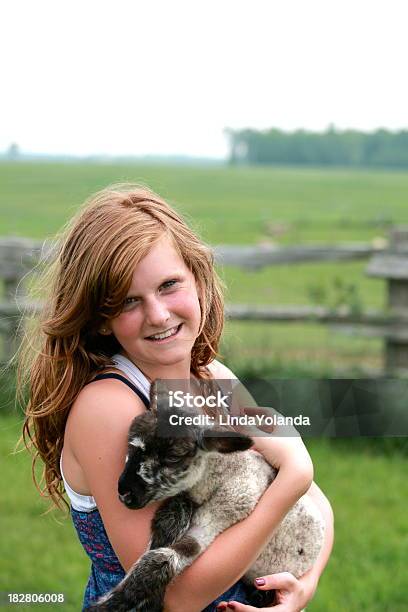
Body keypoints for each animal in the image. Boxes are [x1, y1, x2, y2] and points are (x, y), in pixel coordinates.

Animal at [90, 388, 326, 612]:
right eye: (130, 446)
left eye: (173, 458)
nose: (125, 492)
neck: (219, 473)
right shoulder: (187, 499)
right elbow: (168, 520)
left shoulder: (230, 506)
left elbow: (159, 561)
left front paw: (106, 605)